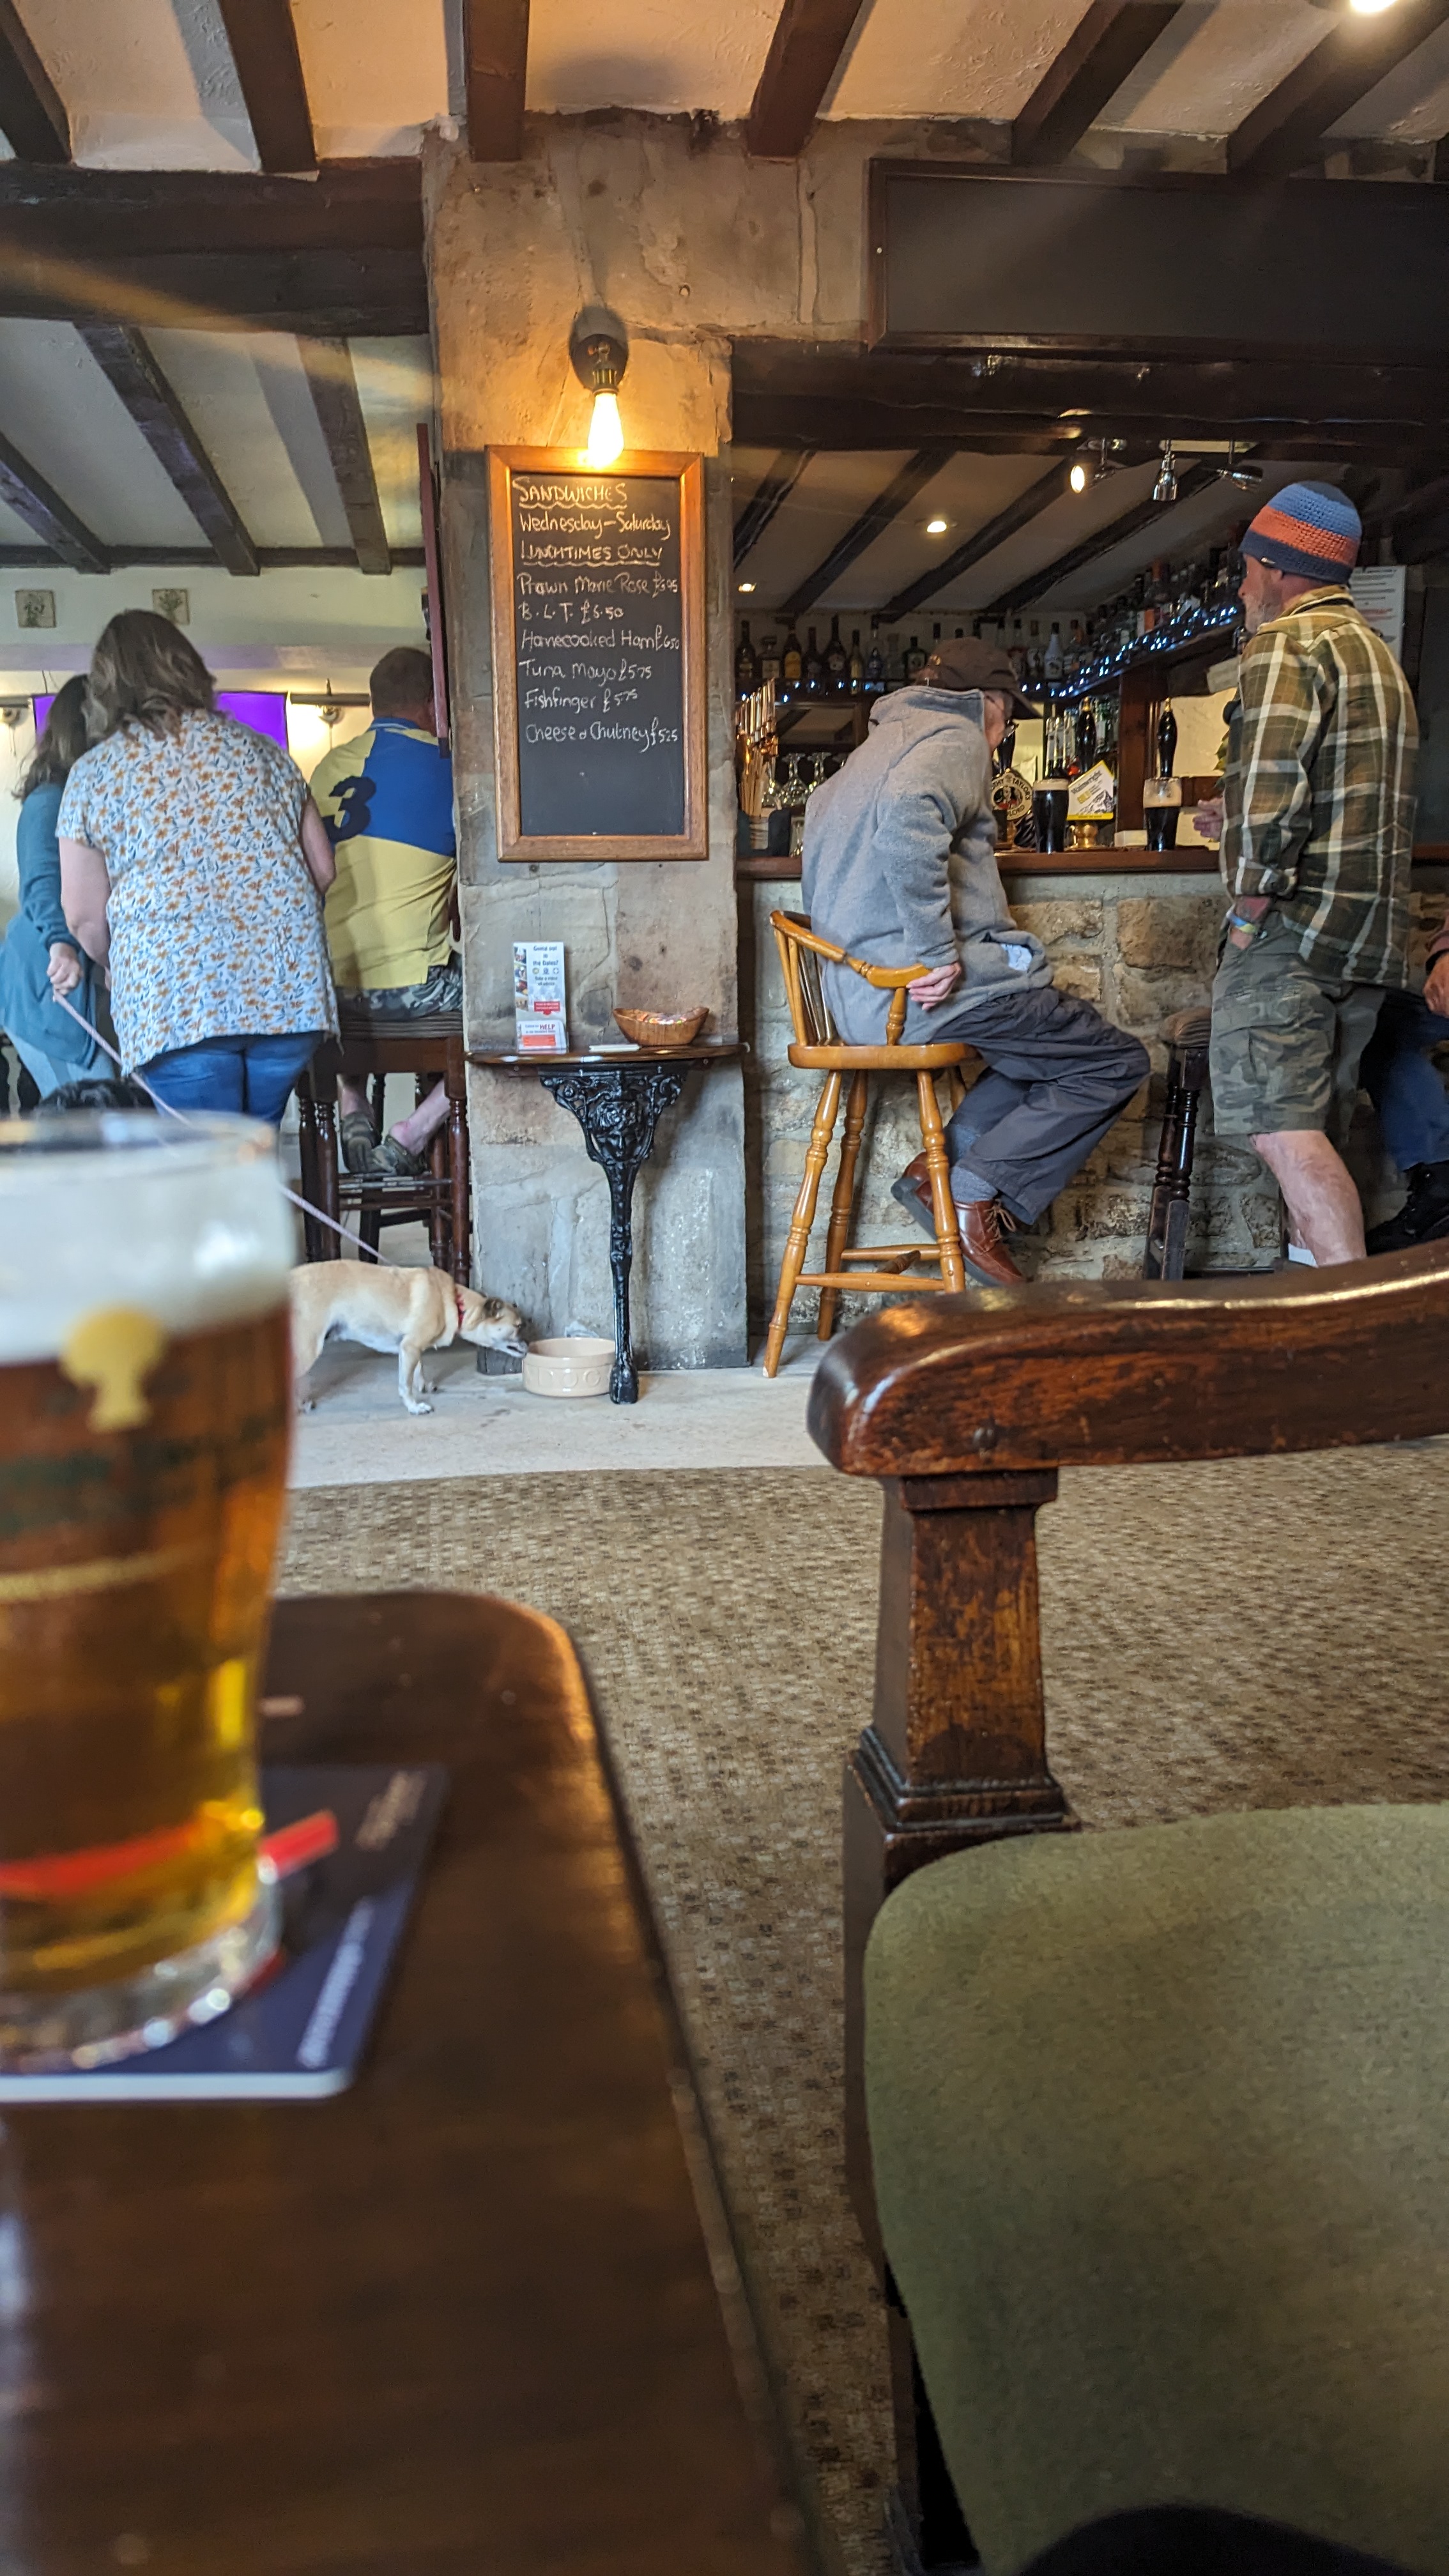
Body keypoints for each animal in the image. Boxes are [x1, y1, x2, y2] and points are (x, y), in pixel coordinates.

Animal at [290, 1262, 526, 1417]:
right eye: (518, 1326)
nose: (527, 1344)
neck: (456, 1303)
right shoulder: (410, 1347)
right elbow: (406, 1384)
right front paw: (414, 1407)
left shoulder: (411, 1348)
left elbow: (418, 1369)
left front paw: (423, 1385)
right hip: (308, 1349)